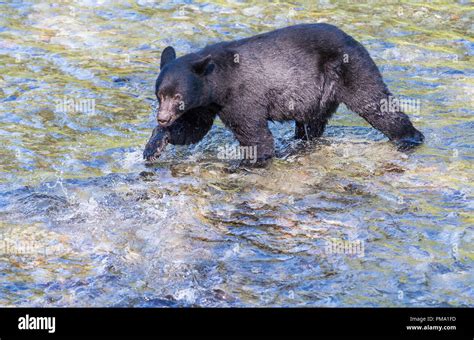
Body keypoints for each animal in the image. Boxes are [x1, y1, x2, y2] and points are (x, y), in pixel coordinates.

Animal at [143, 23, 424, 164]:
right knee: (312, 124)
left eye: (178, 98)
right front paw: (153, 146)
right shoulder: (206, 104)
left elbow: (255, 135)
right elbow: (193, 130)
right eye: (160, 95)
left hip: (352, 70)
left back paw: (409, 137)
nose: (162, 118)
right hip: (318, 97)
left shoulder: (241, 97)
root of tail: (354, 40)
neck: (219, 83)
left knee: (376, 104)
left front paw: (251, 162)